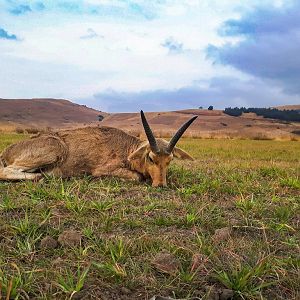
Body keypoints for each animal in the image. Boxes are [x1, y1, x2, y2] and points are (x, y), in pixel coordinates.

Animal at [0, 111, 198, 186]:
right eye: (150, 157)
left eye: (169, 160)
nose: (160, 185)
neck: (127, 149)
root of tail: (7, 151)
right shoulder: (103, 169)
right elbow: (137, 177)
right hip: (55, 150)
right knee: (6, 171)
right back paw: (42, 176)